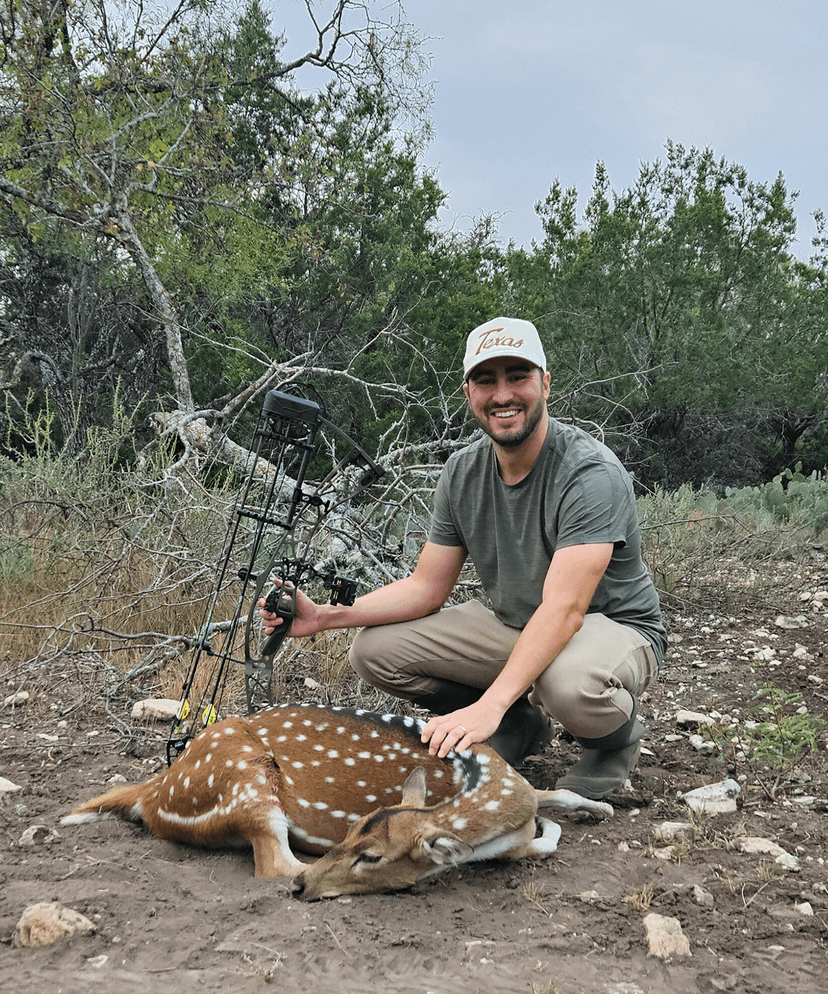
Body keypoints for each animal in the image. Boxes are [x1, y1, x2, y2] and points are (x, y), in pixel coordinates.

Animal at [61, 703, 613, 899]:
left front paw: (602, 807)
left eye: (371, 853)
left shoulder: (521, 787)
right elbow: (542, 842)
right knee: (272, 862)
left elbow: (559, 792)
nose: (311, 885)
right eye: (348, 833)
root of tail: (153, 792)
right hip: (246, 780)